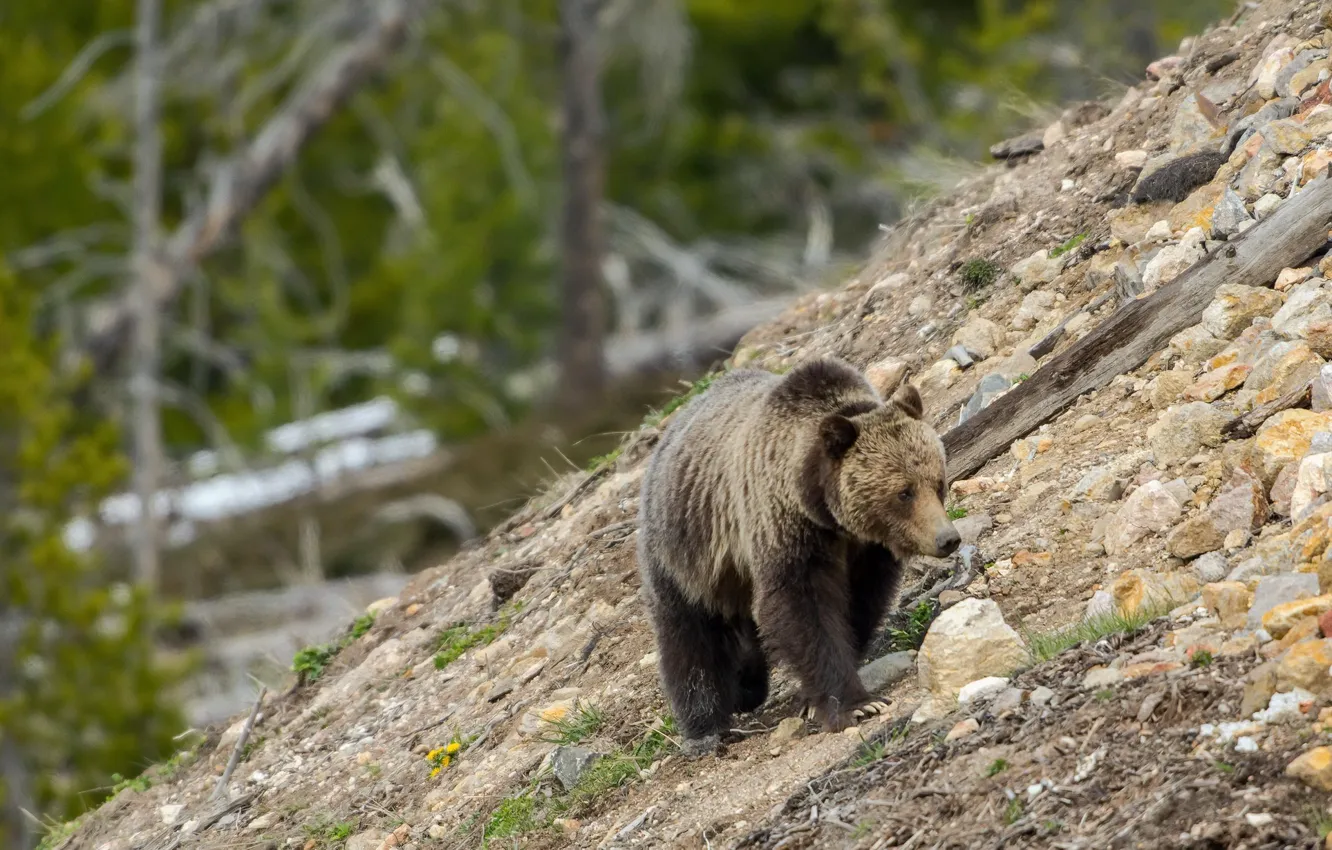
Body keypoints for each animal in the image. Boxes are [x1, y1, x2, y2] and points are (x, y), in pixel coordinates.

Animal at [636, 356, 960, 755]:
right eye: (904, 492)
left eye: (937, 482)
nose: (947, 538)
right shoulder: (785, 529)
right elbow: (803, 610)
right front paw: (855, 705)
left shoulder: (867, 551)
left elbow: (860, 603)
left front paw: (816, 695)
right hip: (686, 552)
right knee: (689, 637)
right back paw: (705, 726)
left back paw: (747, 685)